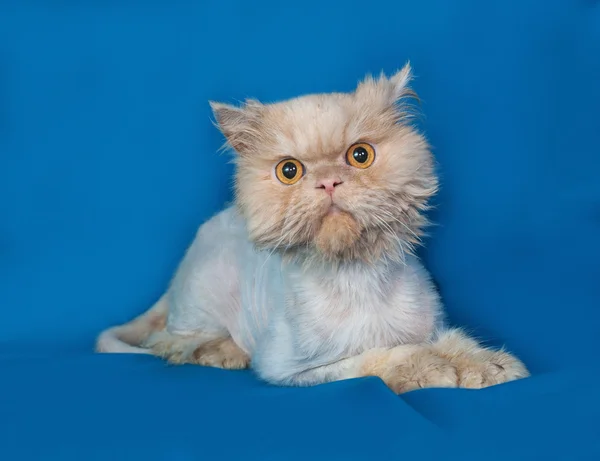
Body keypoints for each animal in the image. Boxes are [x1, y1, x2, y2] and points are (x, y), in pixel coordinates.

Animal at [97, 63, 528, 392]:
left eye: (360, 155)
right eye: (289, 171)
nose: (328, 182)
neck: (357, 277)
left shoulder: (431, 326)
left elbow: (455, 341)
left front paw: (489, 366)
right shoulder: (296, 369)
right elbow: (378, 356)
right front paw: (430, 369)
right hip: (203, 301)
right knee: (171, 343)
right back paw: (226, 353)